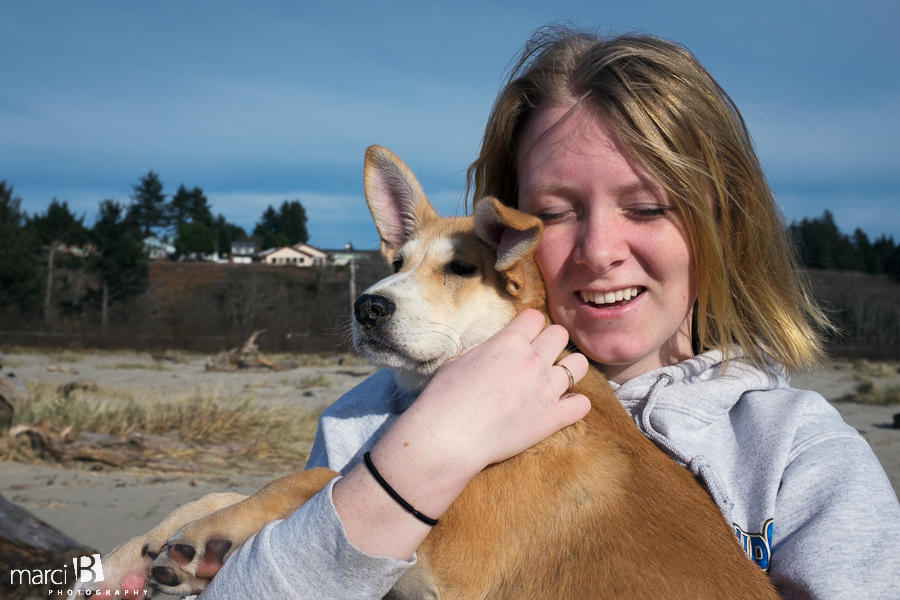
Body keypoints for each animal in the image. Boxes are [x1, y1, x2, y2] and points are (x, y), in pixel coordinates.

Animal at [74, 146, 776, 600]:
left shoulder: (443, 561)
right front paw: (134, 552)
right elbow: (235, 489)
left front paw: (206, 539)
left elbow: (320, 477)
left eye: (461, 269)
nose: (366, 305)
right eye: (397, 261)